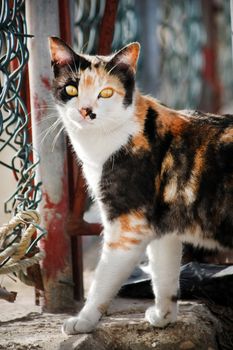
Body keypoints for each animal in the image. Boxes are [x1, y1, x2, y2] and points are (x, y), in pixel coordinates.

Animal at [48, 37, 232, 334]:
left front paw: (83, 320)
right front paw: (164, 317)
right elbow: (164, 274)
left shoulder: (128, 226)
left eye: (106, 93)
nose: (86, 111)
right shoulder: (163, 227)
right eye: (71, 89)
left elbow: (103, 280)